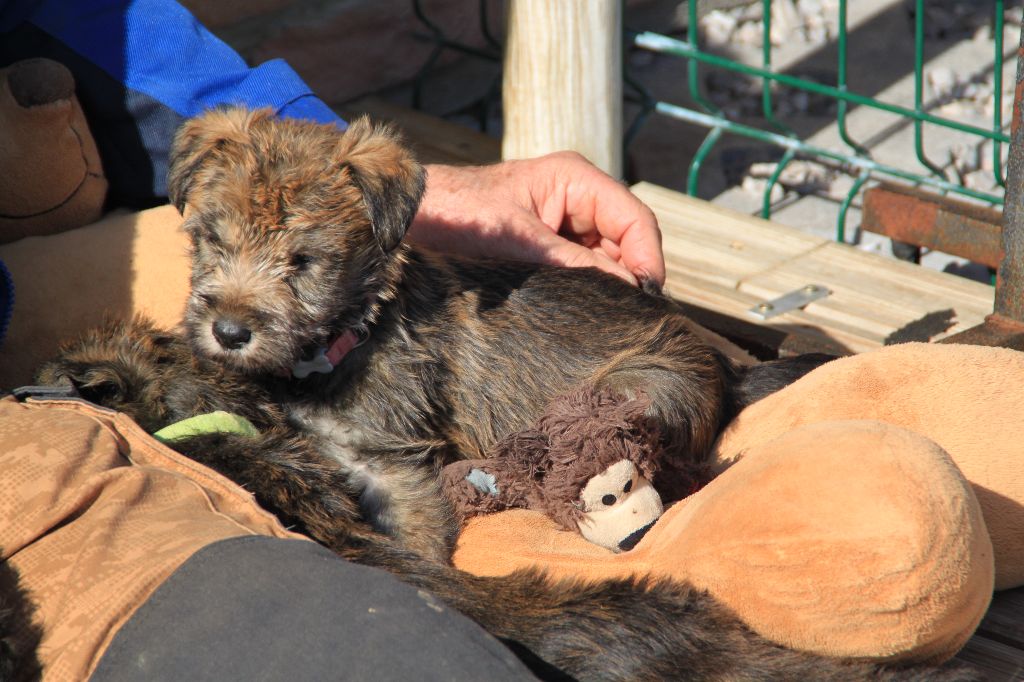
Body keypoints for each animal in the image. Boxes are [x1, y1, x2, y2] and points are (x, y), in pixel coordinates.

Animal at [37, 107, 974, 679]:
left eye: (302, 260)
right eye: (211, 240)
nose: (229, 328)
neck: (330, 353)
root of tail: (723, 359)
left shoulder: (395, 471)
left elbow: (413, 548)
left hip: (639, 384)